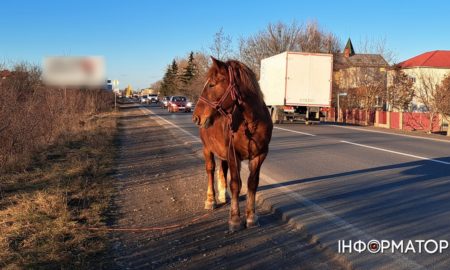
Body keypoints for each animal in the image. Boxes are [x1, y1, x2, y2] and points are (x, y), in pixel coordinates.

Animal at [192, 58, 272, 231]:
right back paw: (211, 200)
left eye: (212, 84)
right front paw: (235, 219)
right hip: (207, 149)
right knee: (210, 170)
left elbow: (252, 184)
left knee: (222, 170)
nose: (196, 117)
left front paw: (251, 217)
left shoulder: (259, 155)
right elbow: (236, 183)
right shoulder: (234, 155)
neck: (251, 123)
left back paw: (223, 195)